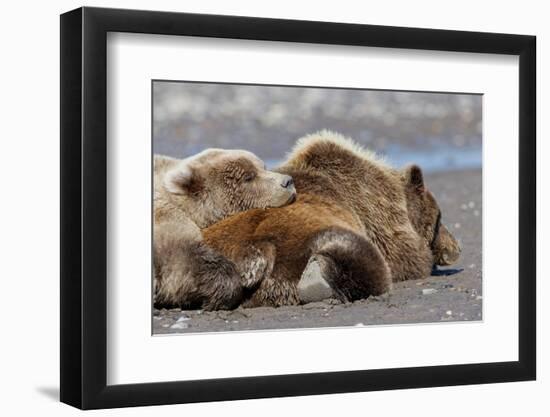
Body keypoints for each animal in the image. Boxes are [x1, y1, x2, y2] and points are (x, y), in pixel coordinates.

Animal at [203, 132, 462, 308]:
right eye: (440, 217)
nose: (456, 248)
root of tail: (255, 252)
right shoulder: (379, 218)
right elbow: (411, 258)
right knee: (362, 259)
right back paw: (317, 278)